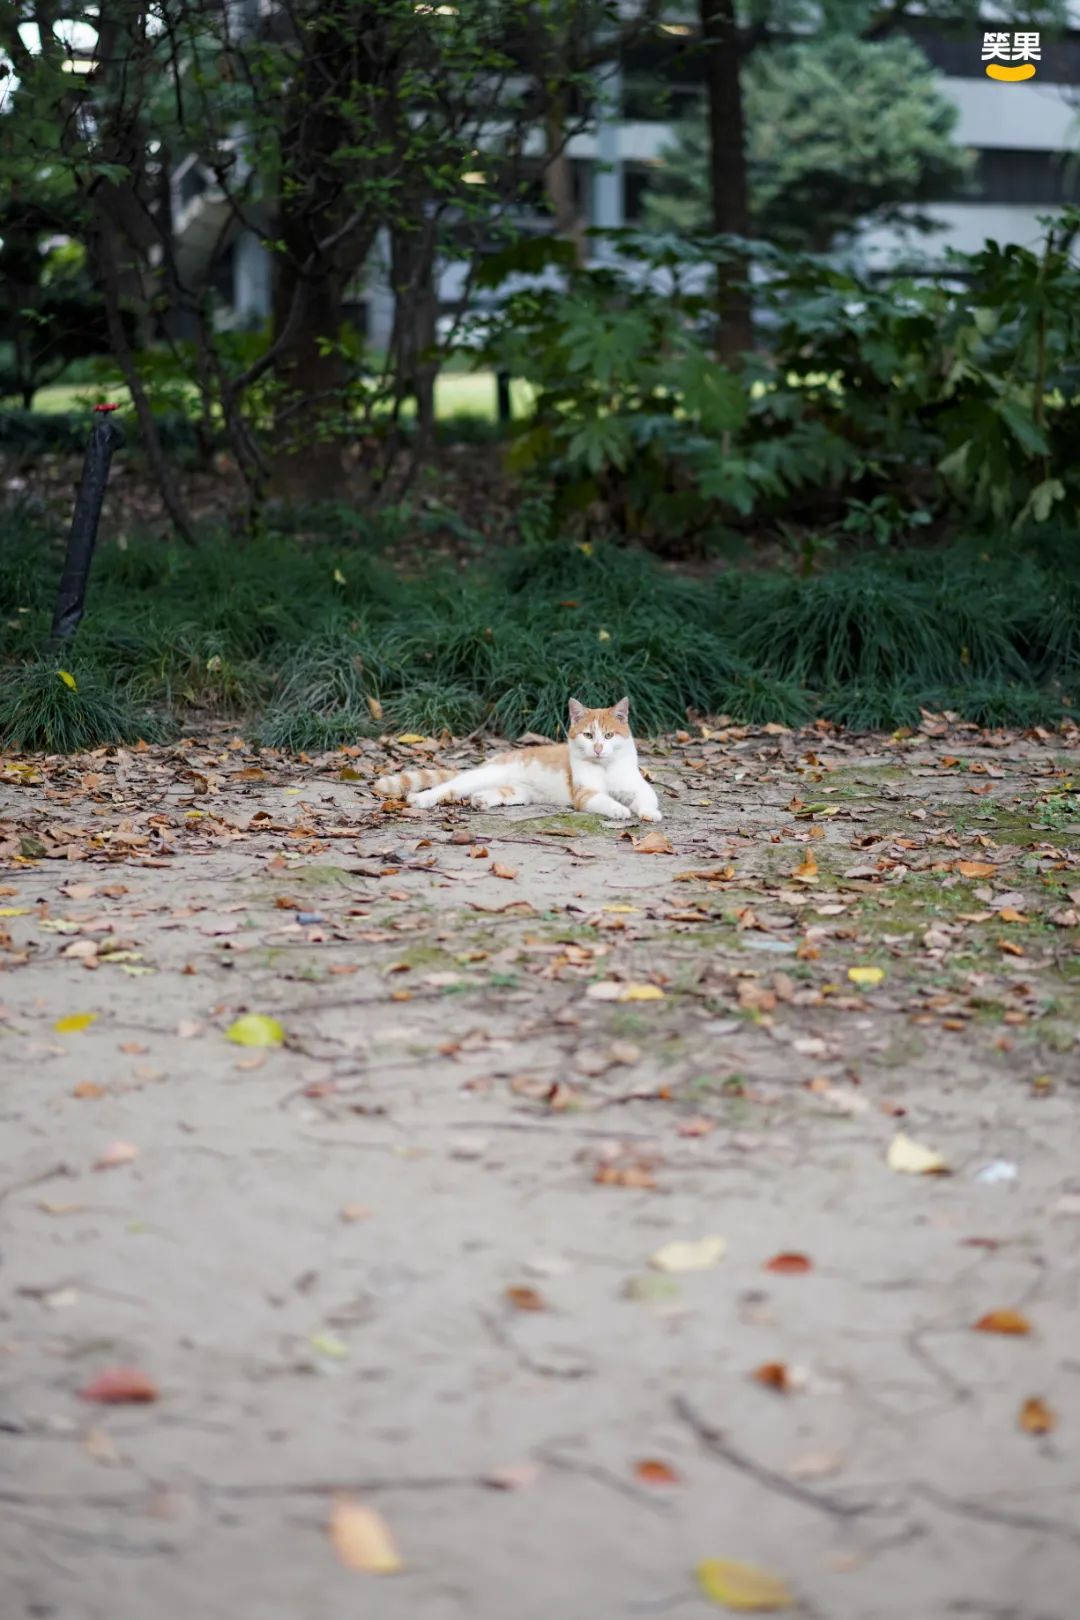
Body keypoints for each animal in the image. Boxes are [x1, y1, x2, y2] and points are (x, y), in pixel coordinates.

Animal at [375, 696, 663, 822]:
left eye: (610, 735)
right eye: (588, 735)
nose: (599, 748)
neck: (605, 767)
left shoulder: (639, 786)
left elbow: (648, 798)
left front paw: (649, 813)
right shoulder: (585, 794)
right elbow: (604, 800)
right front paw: (619, 809)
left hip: (519, 791)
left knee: (490, 793)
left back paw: (481, 800)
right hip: (482, 776)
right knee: (449, 788)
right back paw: (421, 799)